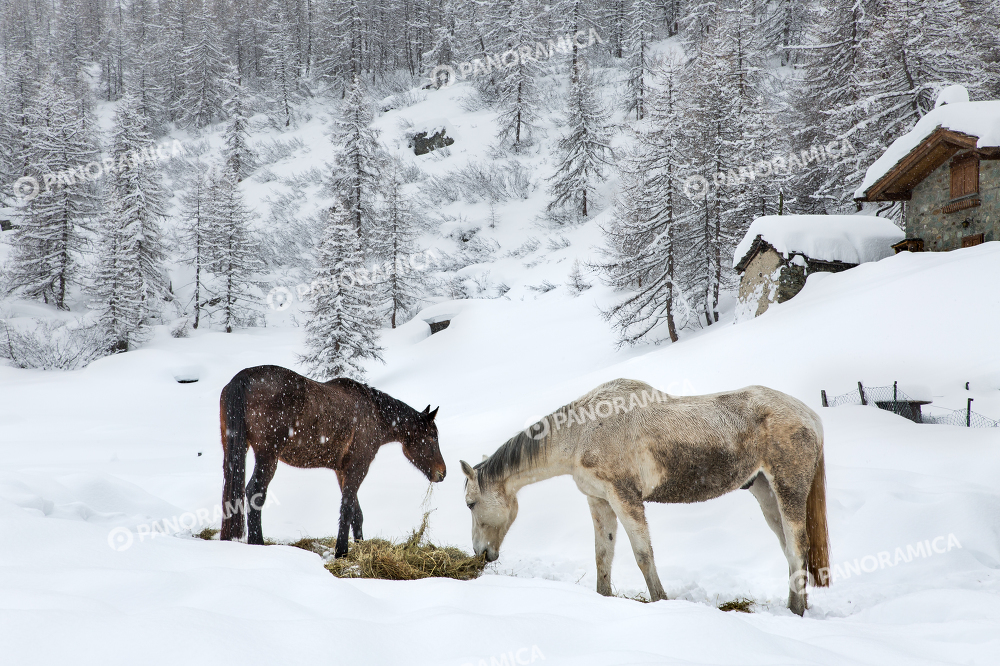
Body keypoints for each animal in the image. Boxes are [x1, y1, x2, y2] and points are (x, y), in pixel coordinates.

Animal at [219, 365, 446, 557]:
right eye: (432, 437)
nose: (442, 472)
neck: (374, 414)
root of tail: (242, 378)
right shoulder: (358, 468)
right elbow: (347, 509)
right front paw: (341, 551)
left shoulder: (341, 471)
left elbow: (357, 513)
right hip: (268, 456)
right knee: (254, 492)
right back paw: (258, 543)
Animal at [460, 378, 830, 615]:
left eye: (470, 503)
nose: (481, 553)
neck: (581, 434)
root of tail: (811, 416)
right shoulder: (599, 502)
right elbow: (603, 555)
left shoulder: (625, 498)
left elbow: (643, 555)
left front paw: (661, 601)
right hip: (764, 491)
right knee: (788, 550)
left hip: (788, 489)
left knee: (797, 547)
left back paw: (797, 613)